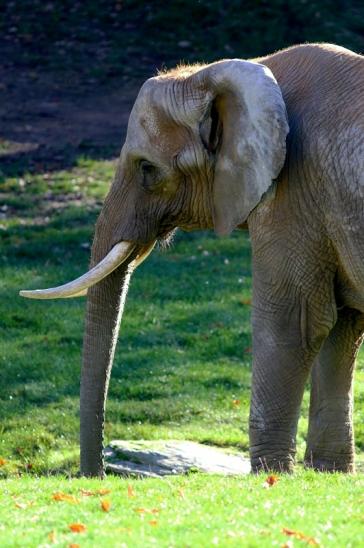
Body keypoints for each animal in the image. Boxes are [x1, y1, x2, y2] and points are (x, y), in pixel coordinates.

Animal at [21, 42, 364, 478]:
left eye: (147, 168)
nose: (95, 474)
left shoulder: (293, 192)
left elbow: (297, 321)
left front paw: (271, 476)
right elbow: (342, 325)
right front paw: (327, 474)